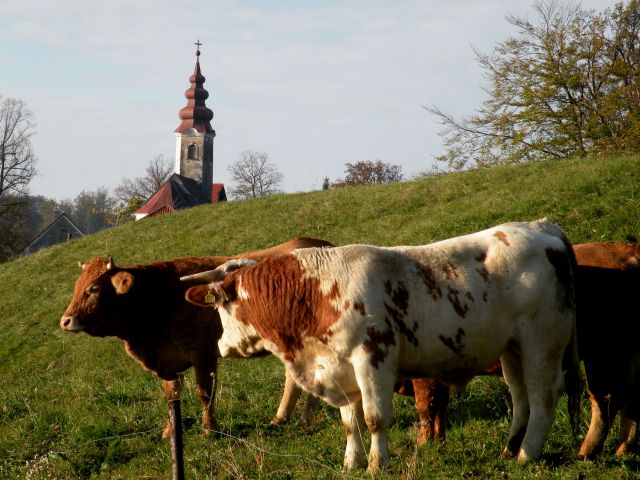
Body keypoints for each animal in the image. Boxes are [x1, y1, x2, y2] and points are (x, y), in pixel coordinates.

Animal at [60, 236, 332, 438]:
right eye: (76, 287)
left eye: (93, 289)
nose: (65, 321)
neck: (157, 297)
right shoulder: (167, 362)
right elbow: (171, 395)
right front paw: (170, 431)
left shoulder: (204, 353)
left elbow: (205, 392)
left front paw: (209, 429)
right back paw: (284, 418)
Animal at [184, 220, 580, 472]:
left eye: (220, 305)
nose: (221, 345)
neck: (318, 293)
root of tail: (542, 228)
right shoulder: (340, 369)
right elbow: (351, 422)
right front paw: (352, 462)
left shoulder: (372, 359)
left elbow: (374, 419)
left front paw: (377, 464)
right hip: (512, 346)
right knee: (520, 396)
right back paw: (509, 449)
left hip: (543, 339)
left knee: (543, 396)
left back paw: (527, 454)